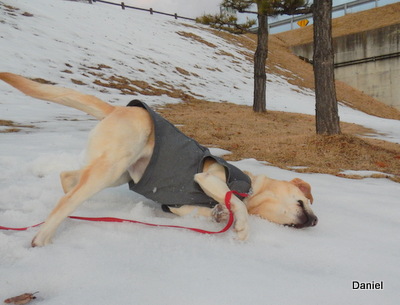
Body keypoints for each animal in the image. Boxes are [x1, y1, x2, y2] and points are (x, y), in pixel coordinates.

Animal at [0, 72, 318, 246]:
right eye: (303, 201)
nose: (315, 221)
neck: (253, 188)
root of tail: (120, 108)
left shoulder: (175, 206)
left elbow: (205, 210)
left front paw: (218, 215)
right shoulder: (208, 176)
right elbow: (235, 202)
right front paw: (239, 226)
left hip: (122, 173)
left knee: (67, 178)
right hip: (113, 165)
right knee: (67, 199)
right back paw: (43, 236)